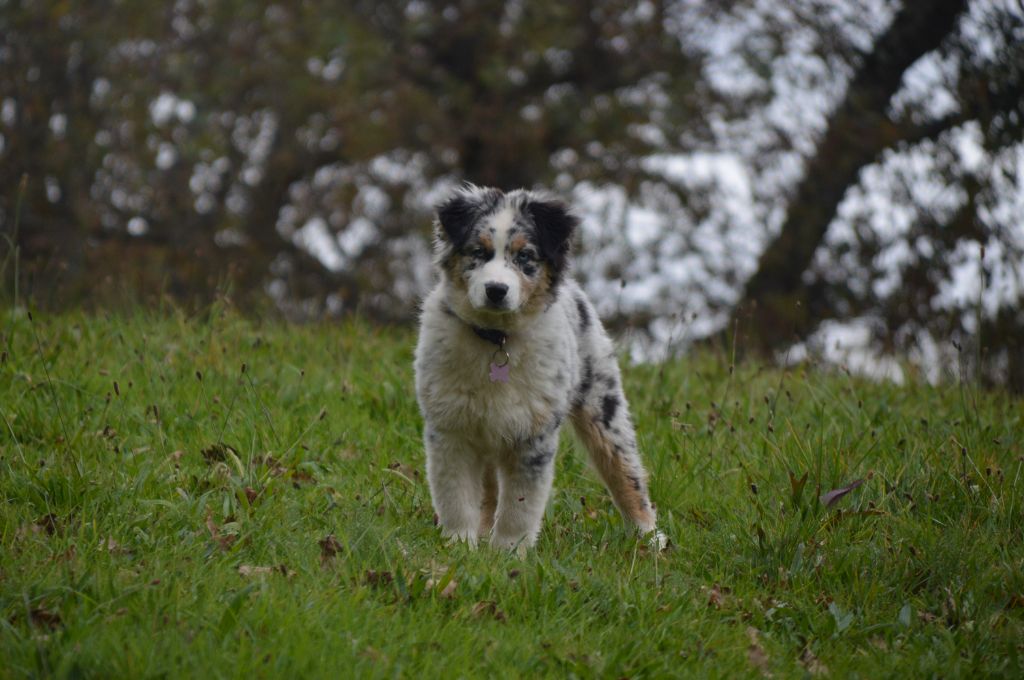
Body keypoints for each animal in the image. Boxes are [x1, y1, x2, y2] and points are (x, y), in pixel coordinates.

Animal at [411, 184, 659, 553]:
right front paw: (461, 546)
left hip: (605, 409)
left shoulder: (534, 435)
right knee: (488, 492)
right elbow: (456, 495)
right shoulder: (450, 429)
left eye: (524, 256)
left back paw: (651, 539)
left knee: (625, 473)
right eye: (478, 252)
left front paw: (508, 553)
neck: (496, 340)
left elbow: (521, 504)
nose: (496, 290)